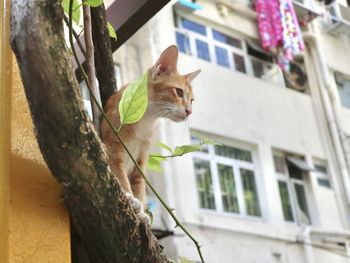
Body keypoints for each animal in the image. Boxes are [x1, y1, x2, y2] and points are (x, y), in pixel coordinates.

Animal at [100, 45, 201, 223]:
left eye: (192, 100)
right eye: (179, 92)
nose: (189, 111)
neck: (146, 119)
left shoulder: (140, 161)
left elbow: (139, 185)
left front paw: (141, 209)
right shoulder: (112, 147)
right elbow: (118, 173)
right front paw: (129, 197)